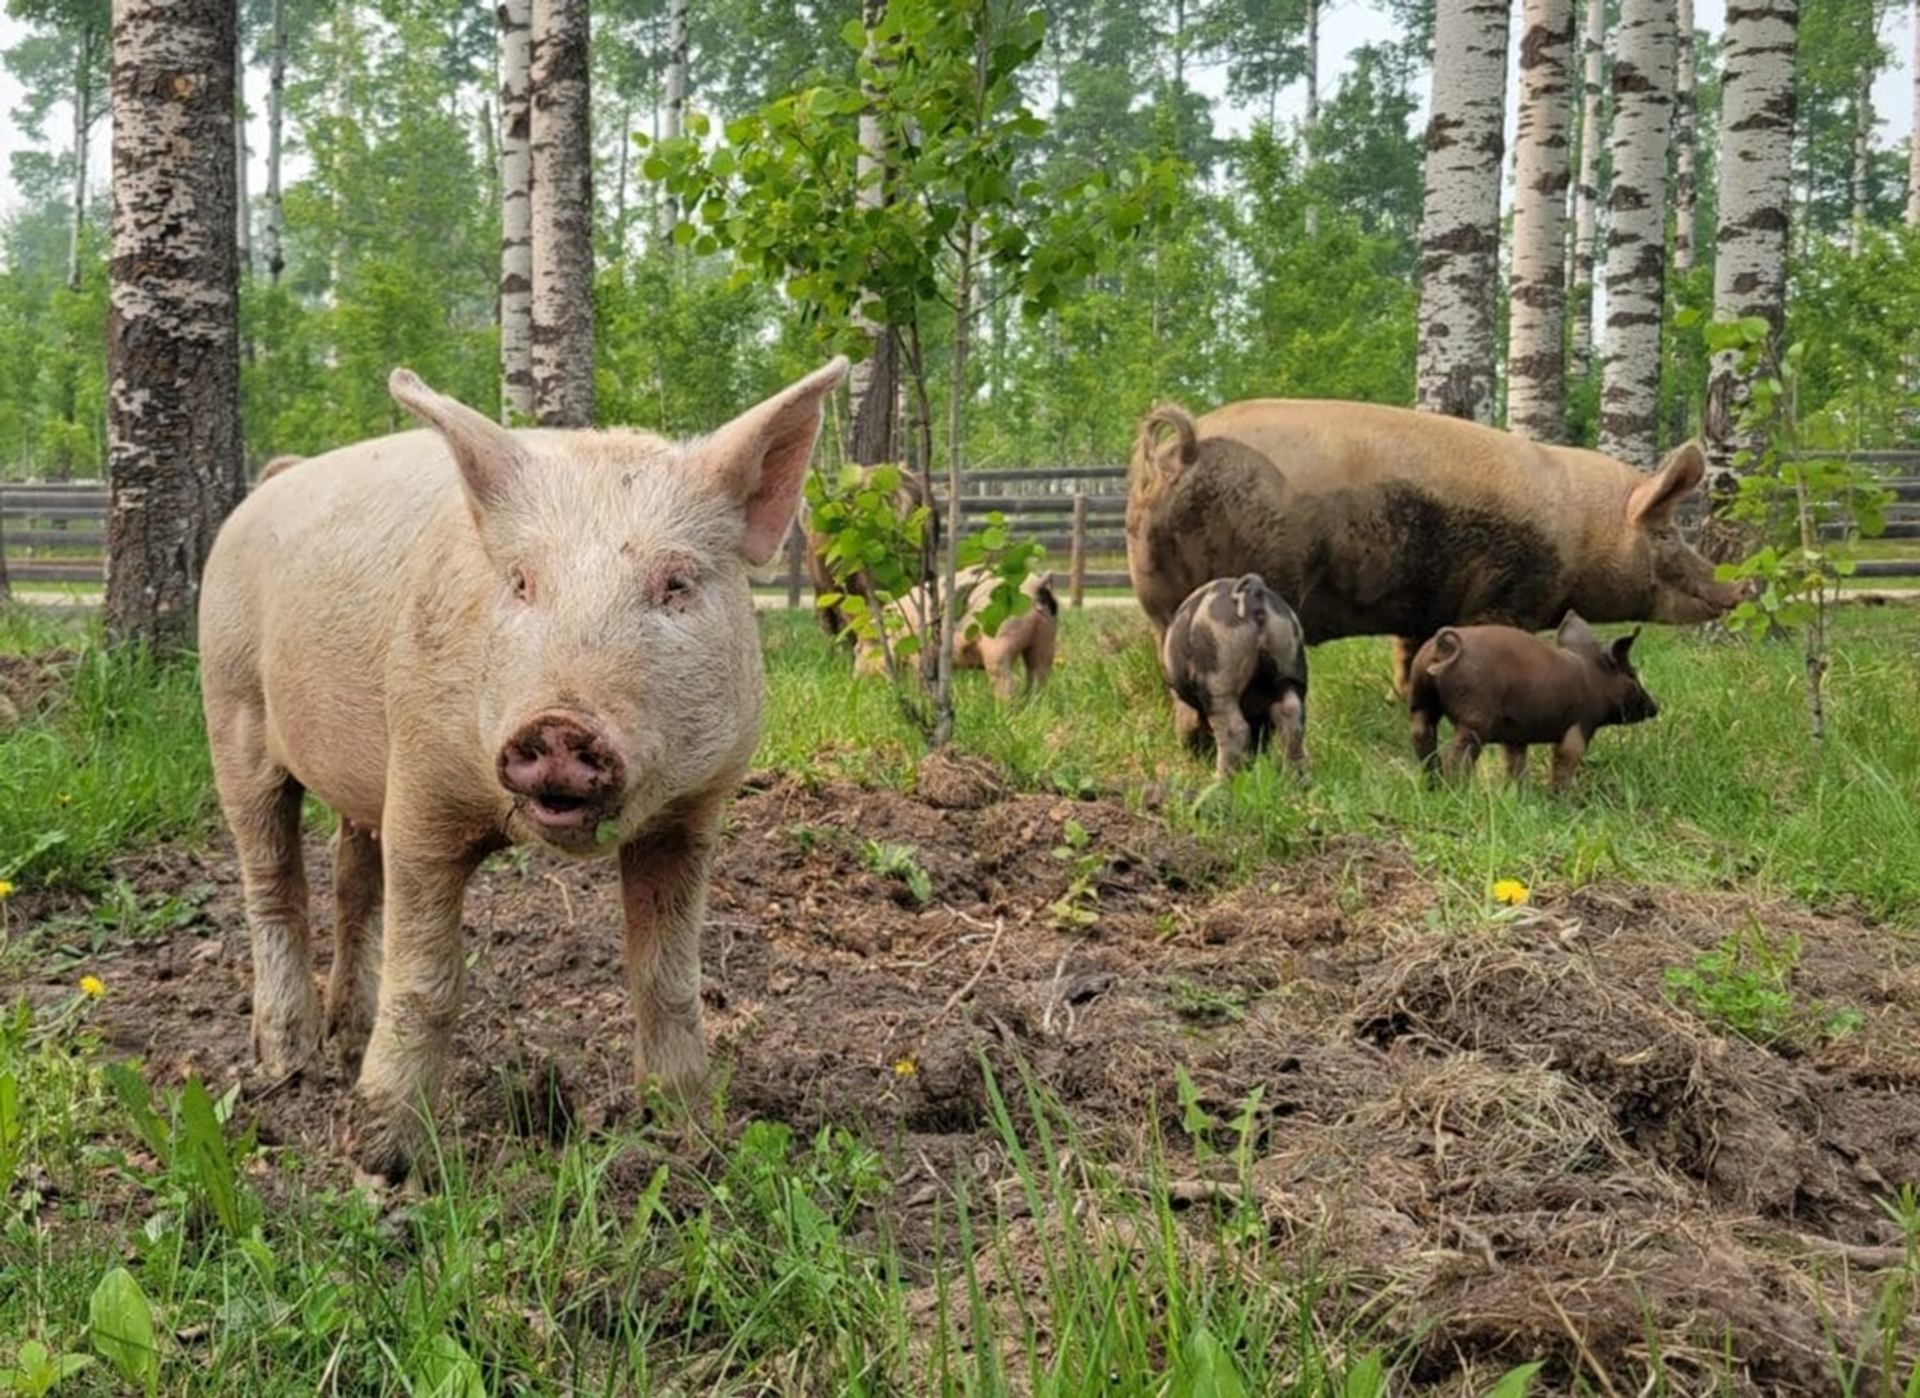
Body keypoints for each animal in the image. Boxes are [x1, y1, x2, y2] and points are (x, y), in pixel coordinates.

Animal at [198, 357, 848, 1184]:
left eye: (675, 584)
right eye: (520, 582)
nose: (561, 725)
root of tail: (274, 481)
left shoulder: (692, 816)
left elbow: (668, 977)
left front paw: (694, 1141)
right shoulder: (420, 788)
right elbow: (427, 982)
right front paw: (381, 1165)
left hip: (353, 775)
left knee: (351, 880)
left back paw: (344, 1043)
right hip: (231, 707)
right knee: (273, 881)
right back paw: (289, 1067)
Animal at [855, 565, 1058, 698]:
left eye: (857, 650)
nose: (856, 679)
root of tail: (1035, 586)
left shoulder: (919, 654)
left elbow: (920, 678)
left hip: (1000, 640)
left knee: (1008, 681)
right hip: (1046, 636)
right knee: (1040, 673)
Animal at [1125, 400, 1747, 693]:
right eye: (1665, 533)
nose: (1745, 583)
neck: (1583, 532)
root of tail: (1186, 449)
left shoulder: (1422, 607)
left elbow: (1411, 655)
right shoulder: (1508, 594)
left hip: (1154, 590)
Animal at [1160, 574, 1309, 779]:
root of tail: (1253, 592)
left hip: (1219, 673)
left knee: (1234, 728)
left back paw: (1221, 779)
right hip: (1290, 664)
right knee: (1291, 715)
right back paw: (1297, 778)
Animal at [1407, 612, 1658, 787]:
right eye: (1632, 674)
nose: (1656, 707)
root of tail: (1444, 645)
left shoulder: (1516, 735)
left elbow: (1515, 763)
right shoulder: (1580, 726)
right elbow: (1565, 760)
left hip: (1420, 702)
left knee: (1422, 736)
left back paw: (1433, 786)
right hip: (1474, 718)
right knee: (1457, 755)